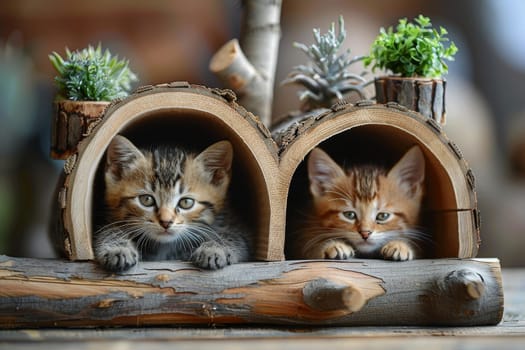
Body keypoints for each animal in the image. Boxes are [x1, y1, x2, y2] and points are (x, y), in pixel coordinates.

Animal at [94, 135, 252, 272]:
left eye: (186, 202)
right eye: (146, 200)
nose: (166, 222)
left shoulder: (236, 225)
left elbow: (234, 236)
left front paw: (214, 248)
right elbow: (108, 230)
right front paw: (118, 248)